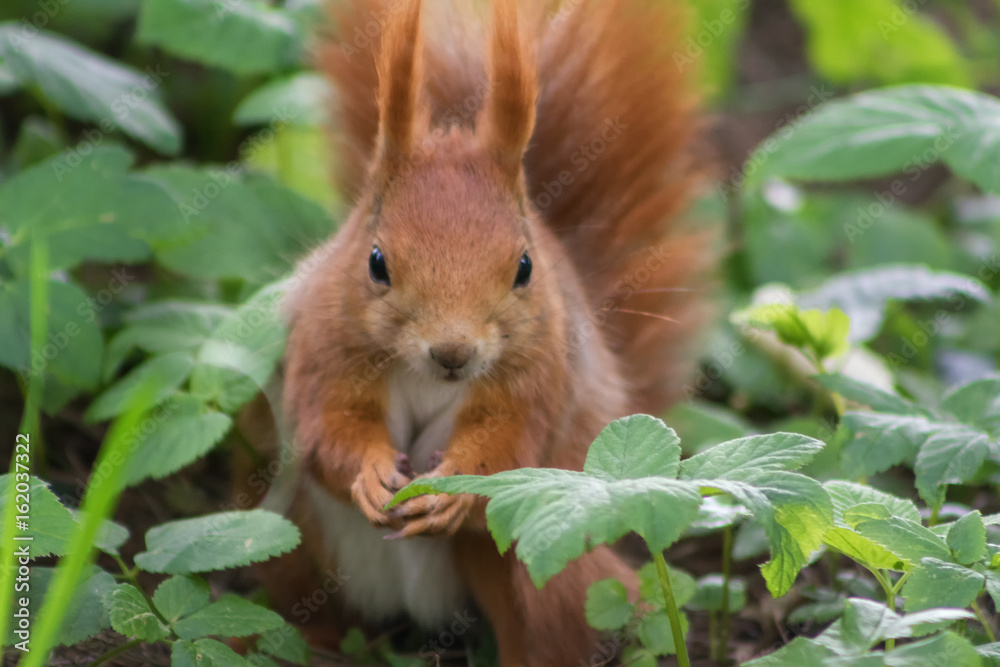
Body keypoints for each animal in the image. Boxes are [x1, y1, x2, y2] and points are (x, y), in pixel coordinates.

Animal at [236, 0, 711, 664]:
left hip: (544, 556)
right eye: (376, 262)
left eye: (525, 267)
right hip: (289, 538)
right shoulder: (322, 349)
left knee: (549, 618)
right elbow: (325, 430)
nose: (453, 352)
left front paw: (452, 494)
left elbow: (507, 447)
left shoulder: (539, 377)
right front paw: (369, 476)